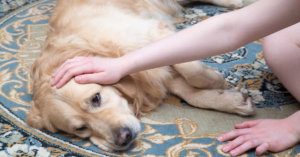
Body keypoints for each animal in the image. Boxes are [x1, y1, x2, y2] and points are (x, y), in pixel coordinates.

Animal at [27, 0, 254, 152]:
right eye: (81, 128)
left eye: (96, 98)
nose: (123, 138)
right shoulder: (155, 74)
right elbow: (190, 93)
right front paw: (231, 101)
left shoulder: (153, 32)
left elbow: (191, 70)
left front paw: (216, 80)